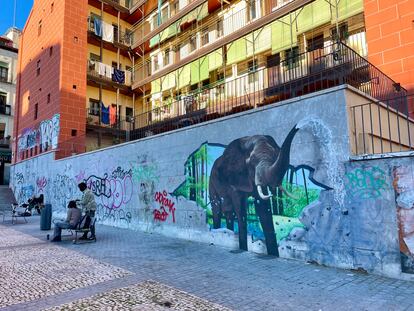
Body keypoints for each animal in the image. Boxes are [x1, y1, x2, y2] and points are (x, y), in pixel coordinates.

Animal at [209, 124, 300, 256]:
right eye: (251, 162)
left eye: (275, 156)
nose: (298, 125)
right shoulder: (234, 179)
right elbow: (240, 209)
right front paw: (243, 248)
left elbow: (264, 209)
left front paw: (273, 254)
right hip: (211, 183)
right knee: (217, 209)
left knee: (228, 212)